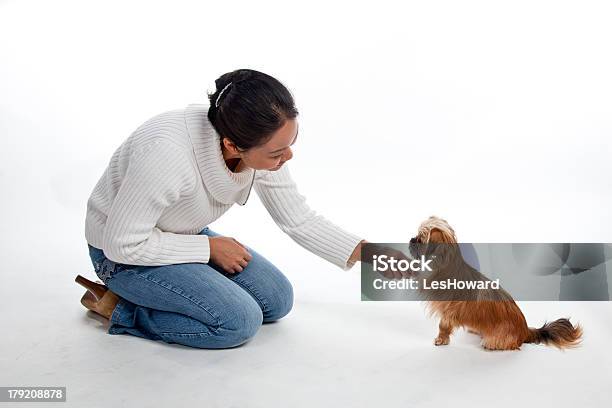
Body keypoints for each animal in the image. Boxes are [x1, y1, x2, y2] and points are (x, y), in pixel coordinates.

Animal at [408, 217, 580, 350]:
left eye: (420, 239)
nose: (411, 239)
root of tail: (525, 330)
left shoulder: (448, 311)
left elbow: (443, 326)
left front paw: (441, 340)